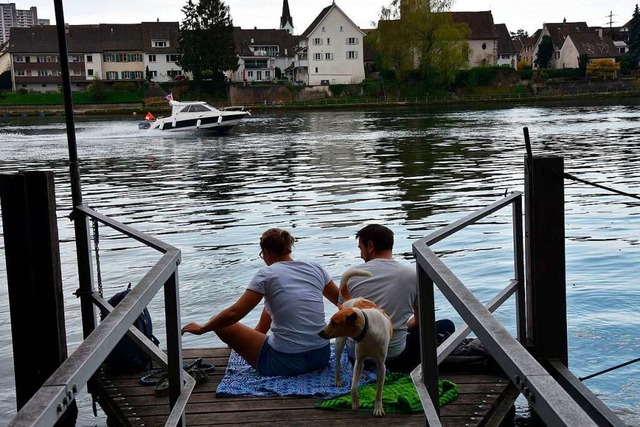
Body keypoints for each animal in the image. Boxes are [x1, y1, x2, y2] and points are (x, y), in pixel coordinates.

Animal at [318, 268, 392, 418]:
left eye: (334, 323)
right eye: (330, 321)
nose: (320, 333)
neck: (367, 329)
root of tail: (350, 300)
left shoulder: (381, 364)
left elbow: (379, 391)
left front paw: (378, 408)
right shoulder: (359, 359)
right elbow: (353, 385)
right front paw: (355, 401)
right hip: (340, 342)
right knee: (337, 362)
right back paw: (338, 379)